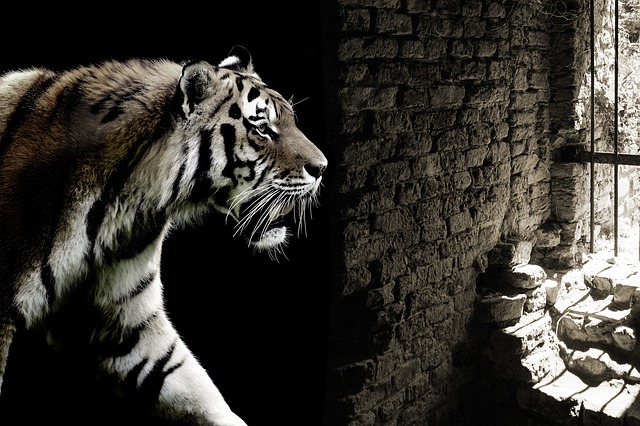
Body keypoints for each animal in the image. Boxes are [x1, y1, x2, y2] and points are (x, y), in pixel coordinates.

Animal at [0, 46, 327, 425]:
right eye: (262, 128)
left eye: (290, 120)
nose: (322, 168)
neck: (125, 205)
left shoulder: (124, 321)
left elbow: (194, 388)